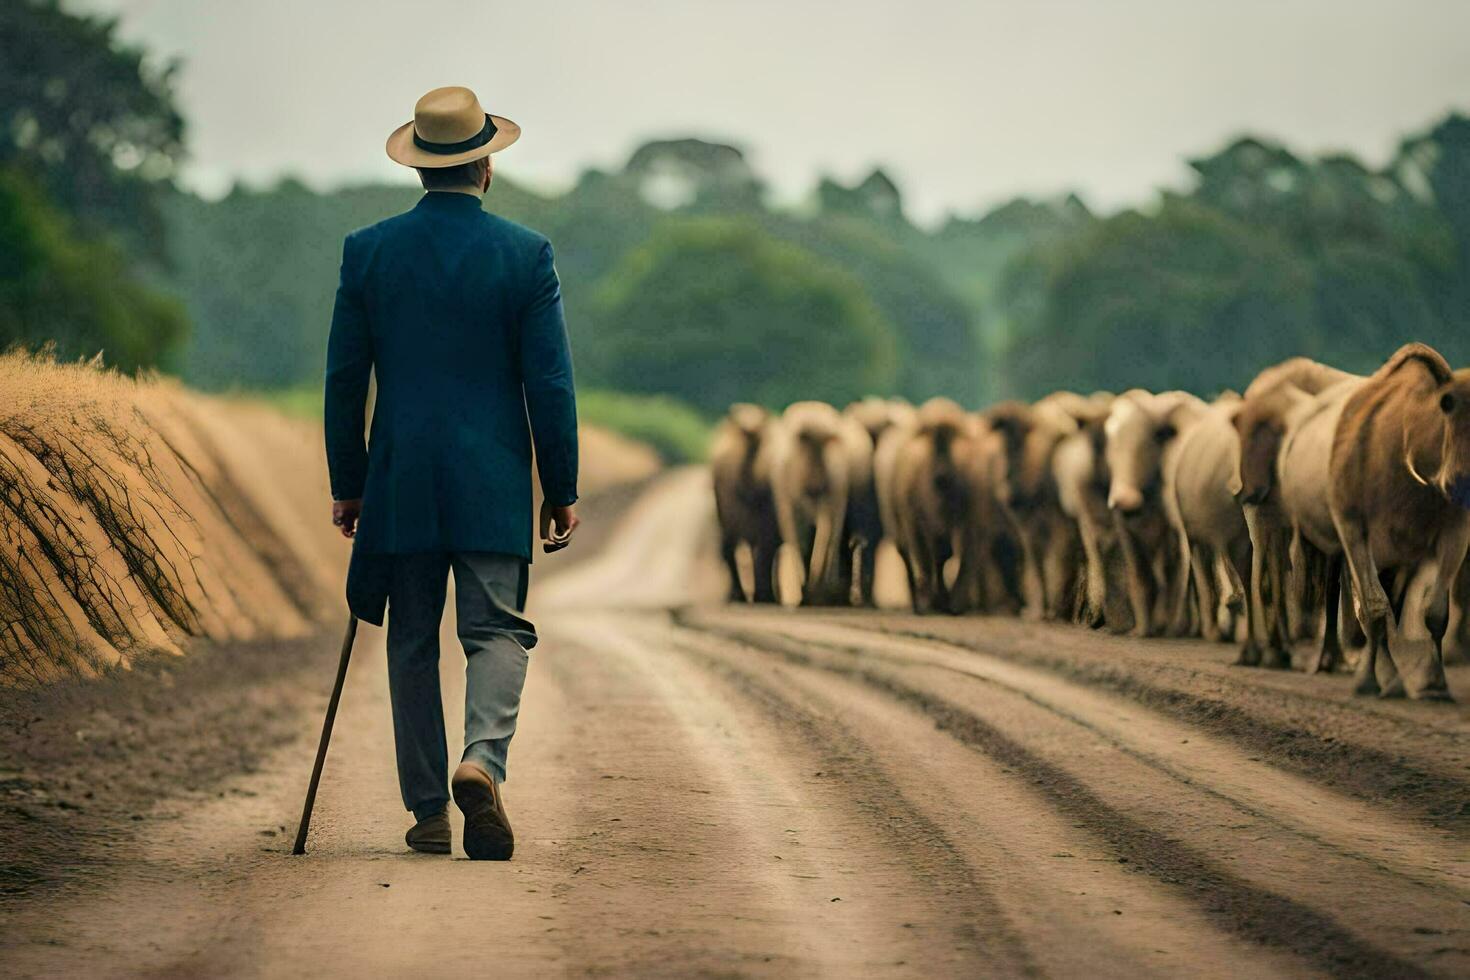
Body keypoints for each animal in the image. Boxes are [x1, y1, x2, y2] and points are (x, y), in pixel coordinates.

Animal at [1334, 345, 1470, 696]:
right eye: (1448, 411)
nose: (1461, 482)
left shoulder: (1454, 533)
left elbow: (1435, 612)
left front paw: (1436, 682)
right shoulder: (1355, 529)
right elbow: (1373, 607)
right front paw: (1367, 680)